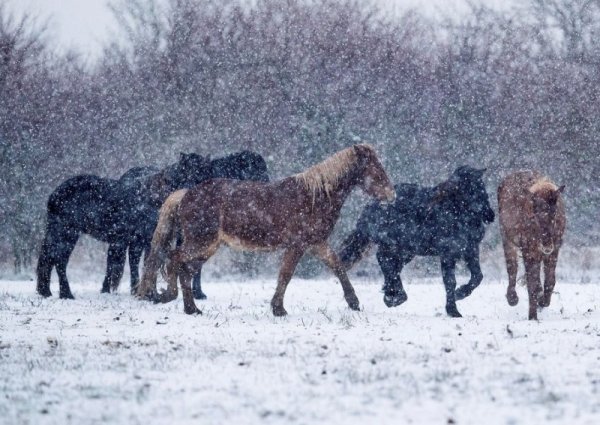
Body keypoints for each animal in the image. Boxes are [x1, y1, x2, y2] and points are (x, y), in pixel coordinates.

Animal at [36, 149, 268, 298]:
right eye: (193, 172)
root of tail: (54, 194)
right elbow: (154, 263)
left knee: (49, 259)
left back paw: (47, 291)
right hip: (67, 234)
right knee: (59, 261)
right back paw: (66, 294)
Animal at [135, 145, 394, 314]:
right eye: (374, 168)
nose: (391, 195)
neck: (314, 197)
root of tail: (186, 194)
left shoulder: (315, 244)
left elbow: (337, 266)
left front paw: (354, 303)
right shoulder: (298, 245)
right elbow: (286, 275)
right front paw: (278, 309)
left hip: (208, 247)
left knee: (185, 269)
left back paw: (191, 308)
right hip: (200, 242)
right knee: (174, 260)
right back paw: (169, 297)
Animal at [340, 165, 494, 314]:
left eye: (482, 186)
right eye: (473, 188)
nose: (490, 215)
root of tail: (370, 208)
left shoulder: (471, 251)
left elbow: (477, 276)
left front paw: (459, 295)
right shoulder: (447, 254)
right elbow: (450, 281)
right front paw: (453, 308)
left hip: (406, 251)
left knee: (391, 265)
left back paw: (391, 295)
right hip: (394, 246)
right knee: (385, 261)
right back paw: (395, 296)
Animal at [500, 169, 564, 318]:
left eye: (554, 213)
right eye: (535, 216)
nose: (546, 245)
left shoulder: (554, 250)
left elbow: (549, 281)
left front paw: (543, 302)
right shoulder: (528, 250)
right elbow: (531, 284)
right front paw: (532, 316)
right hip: (508, 240)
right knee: (512, 268)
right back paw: (512, 298)